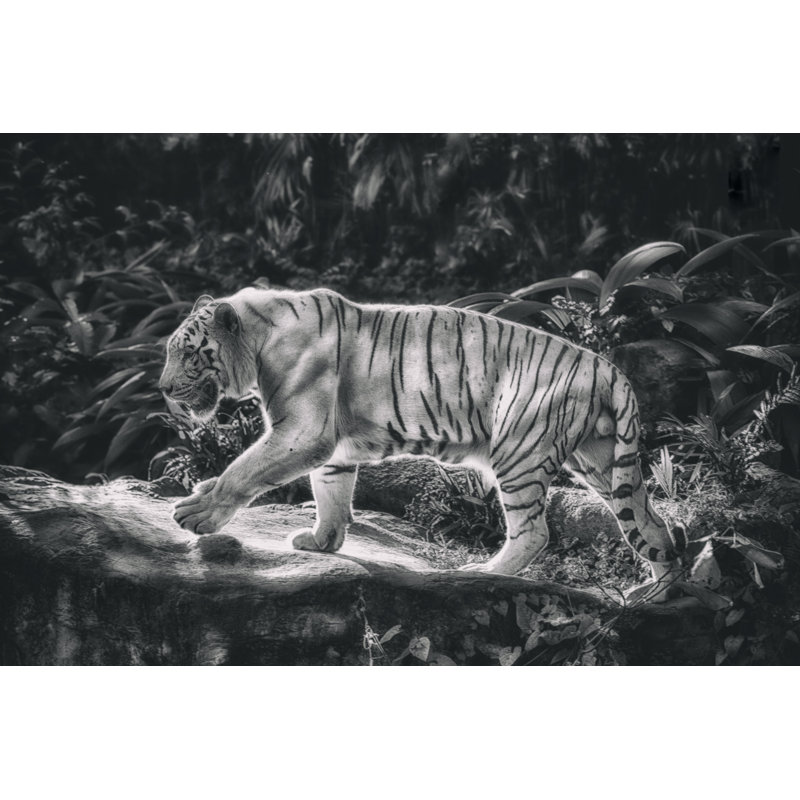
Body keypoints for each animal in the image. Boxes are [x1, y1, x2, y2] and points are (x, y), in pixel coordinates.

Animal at [160, 287, 687, 601]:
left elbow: (243, 470)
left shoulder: (301, 432)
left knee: (535, 531)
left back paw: (483, 572)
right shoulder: (329, 447)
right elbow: (330, 493)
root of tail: (607, 366)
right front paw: (322, 542)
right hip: (602, 461)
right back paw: (657, 594)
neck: (258, 340)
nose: (164, 388)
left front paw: (197, 512)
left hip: (519, 452)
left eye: (189, 353)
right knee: (651, 523)